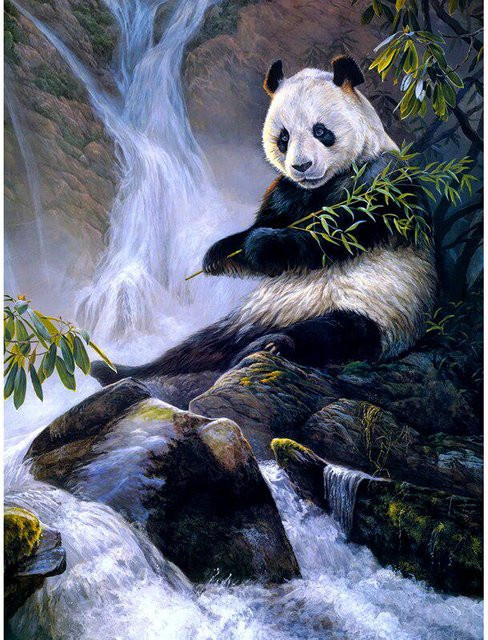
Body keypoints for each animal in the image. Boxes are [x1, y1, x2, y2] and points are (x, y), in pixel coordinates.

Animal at [92, 55, 437, 387]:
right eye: (283, 137)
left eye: (320, 130)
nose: (301, 166)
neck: (322, 185)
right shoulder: (285, 192)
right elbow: (264, 226)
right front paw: (219, 254)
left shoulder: (381, 181)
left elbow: (335, 235)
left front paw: (261, 245)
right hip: (248, 315)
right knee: (199, 347)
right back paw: (117, 370)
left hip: (376, 310)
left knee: (334, 334)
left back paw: (274, 344)